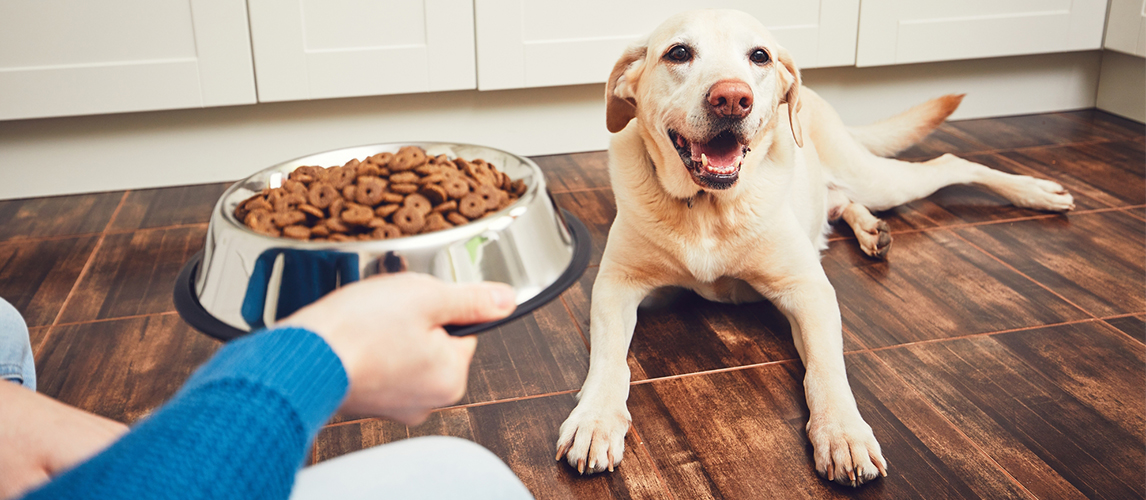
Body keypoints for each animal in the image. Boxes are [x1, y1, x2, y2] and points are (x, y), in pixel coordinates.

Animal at [554, 9, 1072, 486]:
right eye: (678, 52)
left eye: (759, 56)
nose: (732, 98)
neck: (708, 207)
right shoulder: (617, 285)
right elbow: (609, 360)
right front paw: (595, 420)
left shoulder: (808, 291)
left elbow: (824, 368)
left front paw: (843, 433)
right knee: (843, 202)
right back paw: (872, 231)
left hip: (878, 178)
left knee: (948, 163)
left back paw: (1037, 193)